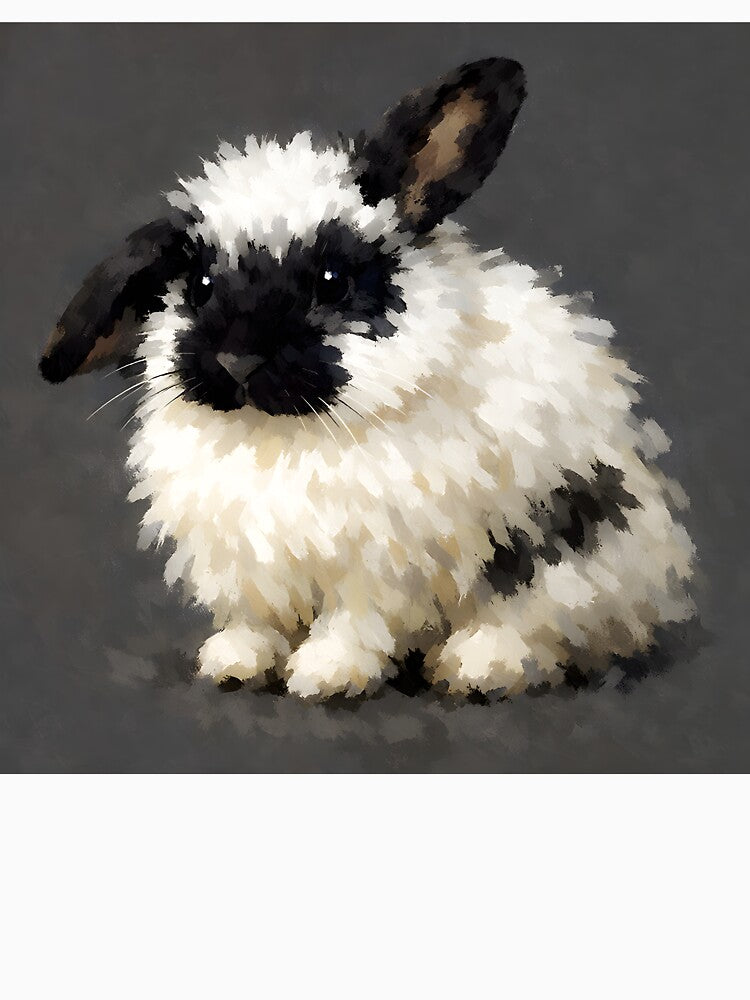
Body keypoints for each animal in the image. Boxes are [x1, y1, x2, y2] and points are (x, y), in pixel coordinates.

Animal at [39, 57, 696, 699]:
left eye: (333, 281)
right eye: (198, 287)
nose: (237, 362)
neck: (282, 436)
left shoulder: (378, 568)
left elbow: (352, 624)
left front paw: (324, 676)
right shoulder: (248, 568)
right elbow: (254, 621)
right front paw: (233, 665)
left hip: (568, 563)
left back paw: (477, 669)